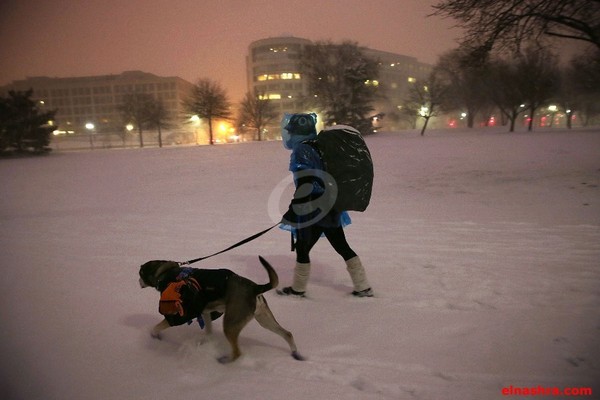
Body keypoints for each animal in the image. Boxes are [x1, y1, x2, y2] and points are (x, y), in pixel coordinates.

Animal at [138, 256, 302, 362]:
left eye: (140, 273)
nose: (138, 281)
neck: (165, 273)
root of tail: (255, 288)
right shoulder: (205, 311)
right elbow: (209, 332)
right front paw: (204, 342)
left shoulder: (182, 313)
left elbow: (158, 326)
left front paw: (154, 335)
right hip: (264, 319)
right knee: (287, 334)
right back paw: (295, 354)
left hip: (230, 324)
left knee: (237, 353)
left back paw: (225, 360)